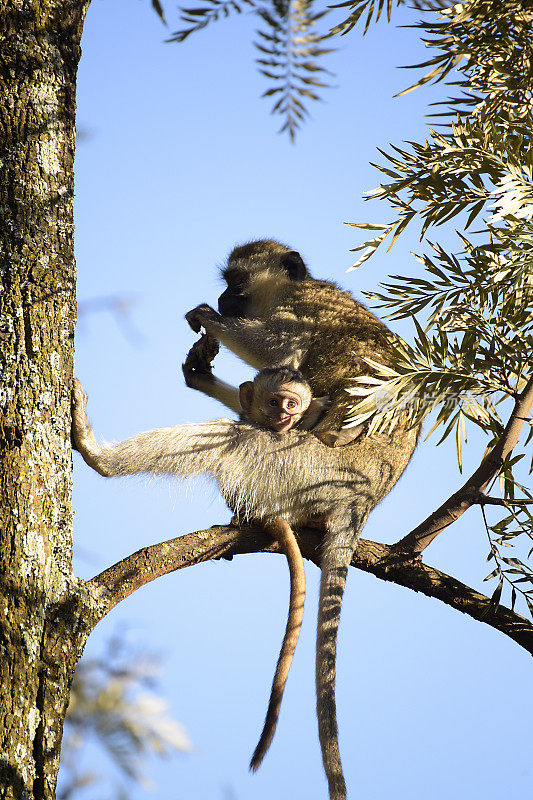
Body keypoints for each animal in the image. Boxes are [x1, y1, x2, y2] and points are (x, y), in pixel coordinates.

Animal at [183, 239, 420, 800]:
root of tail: (364, 497)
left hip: (311, 466)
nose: (223, 299)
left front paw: (205, 317)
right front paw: (201, 371)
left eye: (235, 281)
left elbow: (280, 352)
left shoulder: (298, 314)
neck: (293, 288)